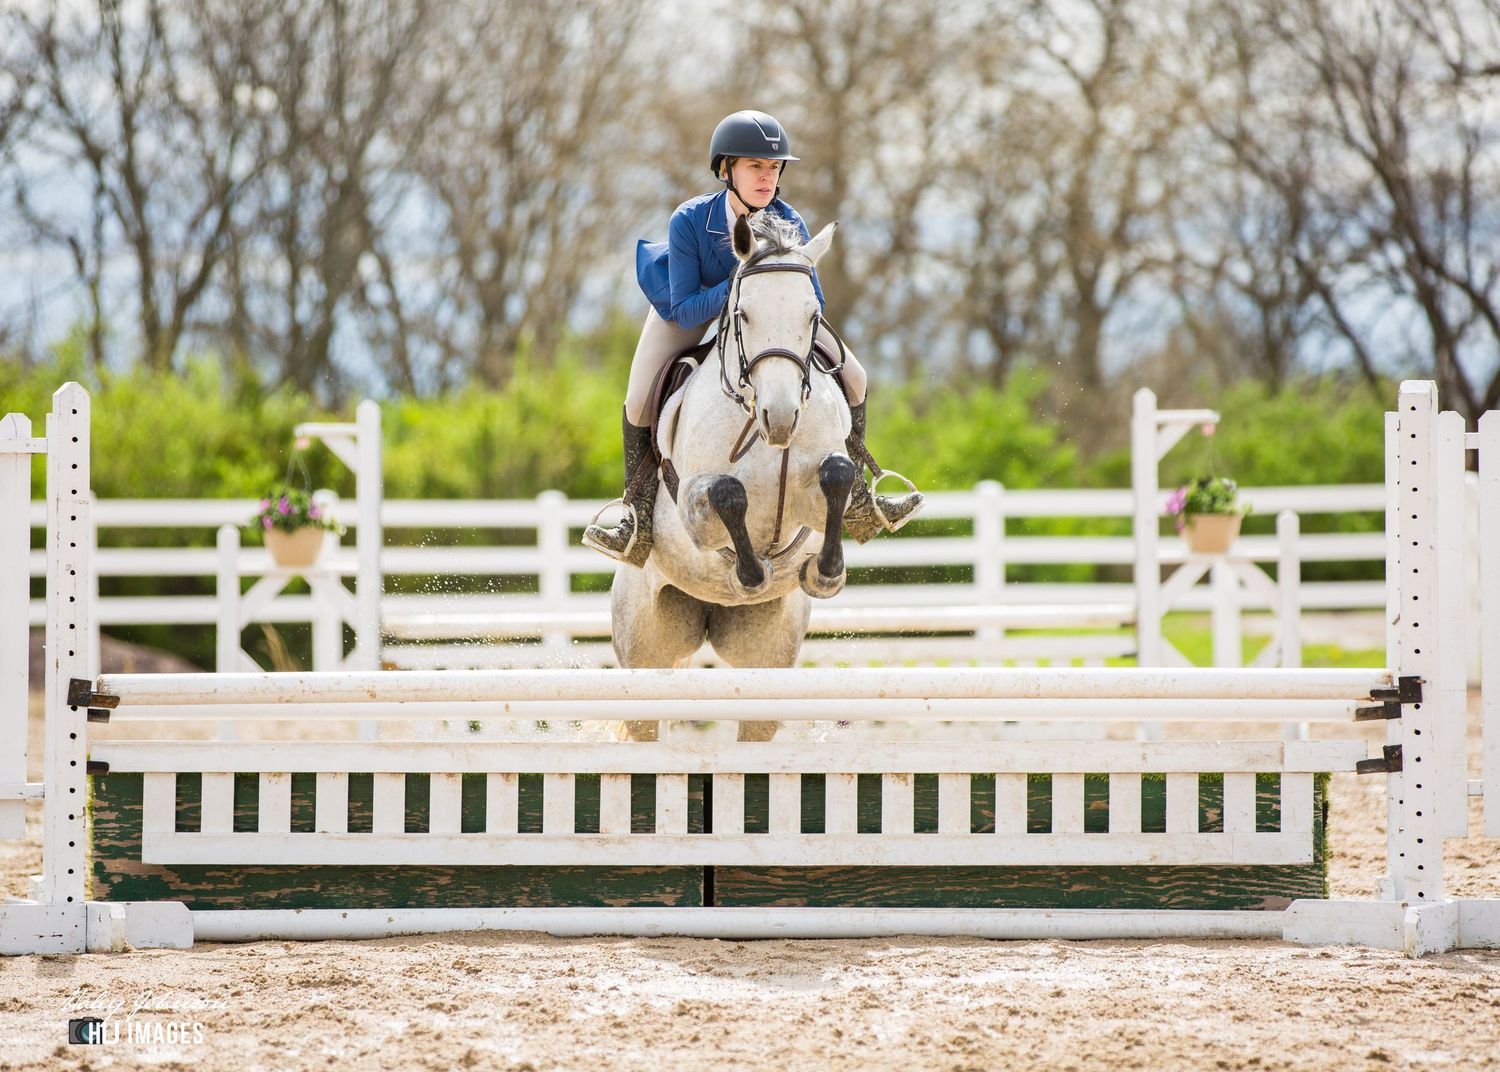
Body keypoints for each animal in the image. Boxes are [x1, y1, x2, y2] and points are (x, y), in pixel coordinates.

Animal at [610, 212, 858, 743]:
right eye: (743, 314)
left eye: (813, 316)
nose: (780, 418)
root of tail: (707, 615)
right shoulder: (693, 511)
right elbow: (729, 493)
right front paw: (751, 575)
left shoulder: (815, 496)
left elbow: (838, 474)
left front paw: (824, 573)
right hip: (644, 652)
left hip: (767, 656)